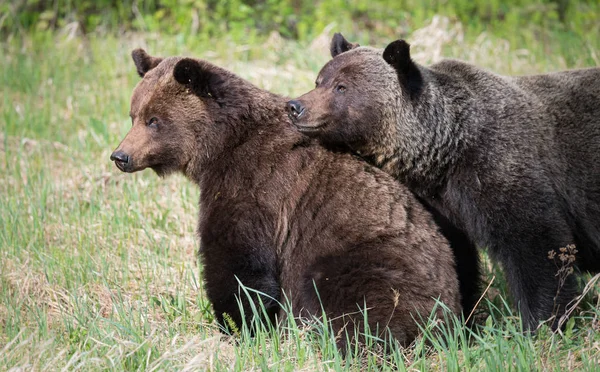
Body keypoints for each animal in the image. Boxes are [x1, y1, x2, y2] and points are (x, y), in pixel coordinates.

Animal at [110, 48, 462, 348]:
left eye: (154, 120)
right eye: (133, 114)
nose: (120, 155)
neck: (222, 145)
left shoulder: (255, 186)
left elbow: (238, 262)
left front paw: (239, 327)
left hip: (370, 259)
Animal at [286, 33, 600, 330]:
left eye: (341, 87)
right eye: (319, 80)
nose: (295, 106)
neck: (447, 152)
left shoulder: (502, 167)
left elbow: (537, 247)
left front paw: (541, 323)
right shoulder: (442, 205)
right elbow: (456, 256)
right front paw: (465, 316)